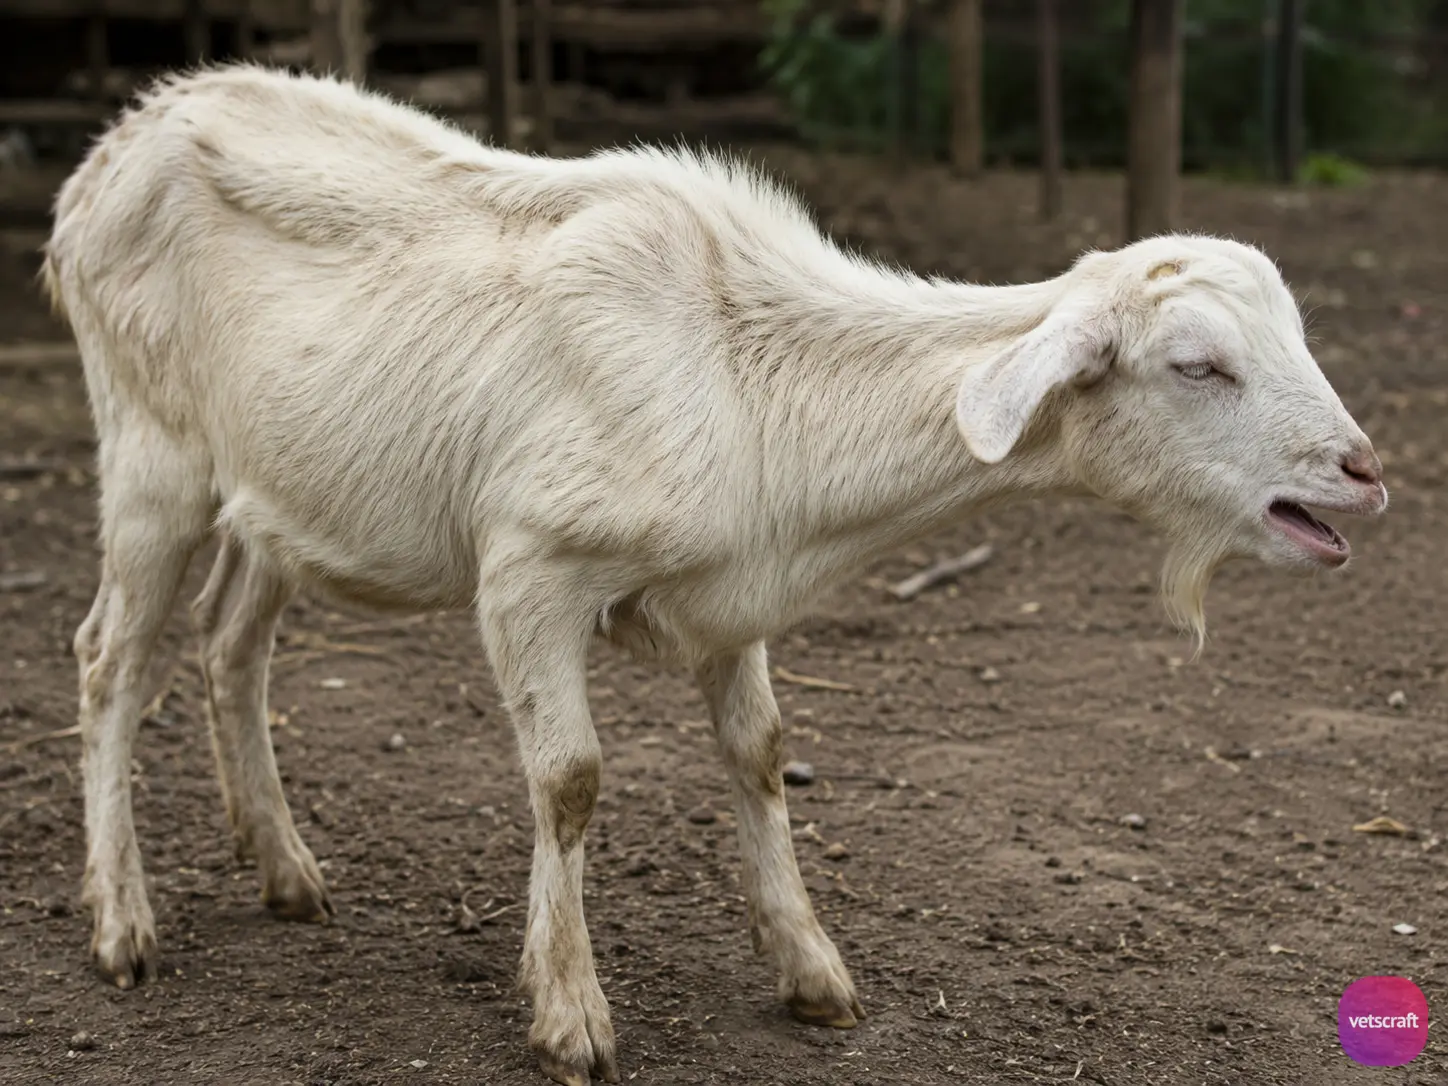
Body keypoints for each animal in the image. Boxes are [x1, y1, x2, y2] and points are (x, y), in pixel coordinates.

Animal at [43, 63, 1387, 1086]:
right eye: (1196, 365)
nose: (1361, 472)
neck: (749, 372)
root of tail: (114, 143)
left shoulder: (737, 592)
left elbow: (759, 753)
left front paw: (811, 973)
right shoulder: (528, 569)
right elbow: (570, 782)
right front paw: (570, 1016)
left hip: (279, 491)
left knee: (231, 644)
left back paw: (283, 871)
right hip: (152, 450)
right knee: (110, 659)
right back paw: (122, 925)